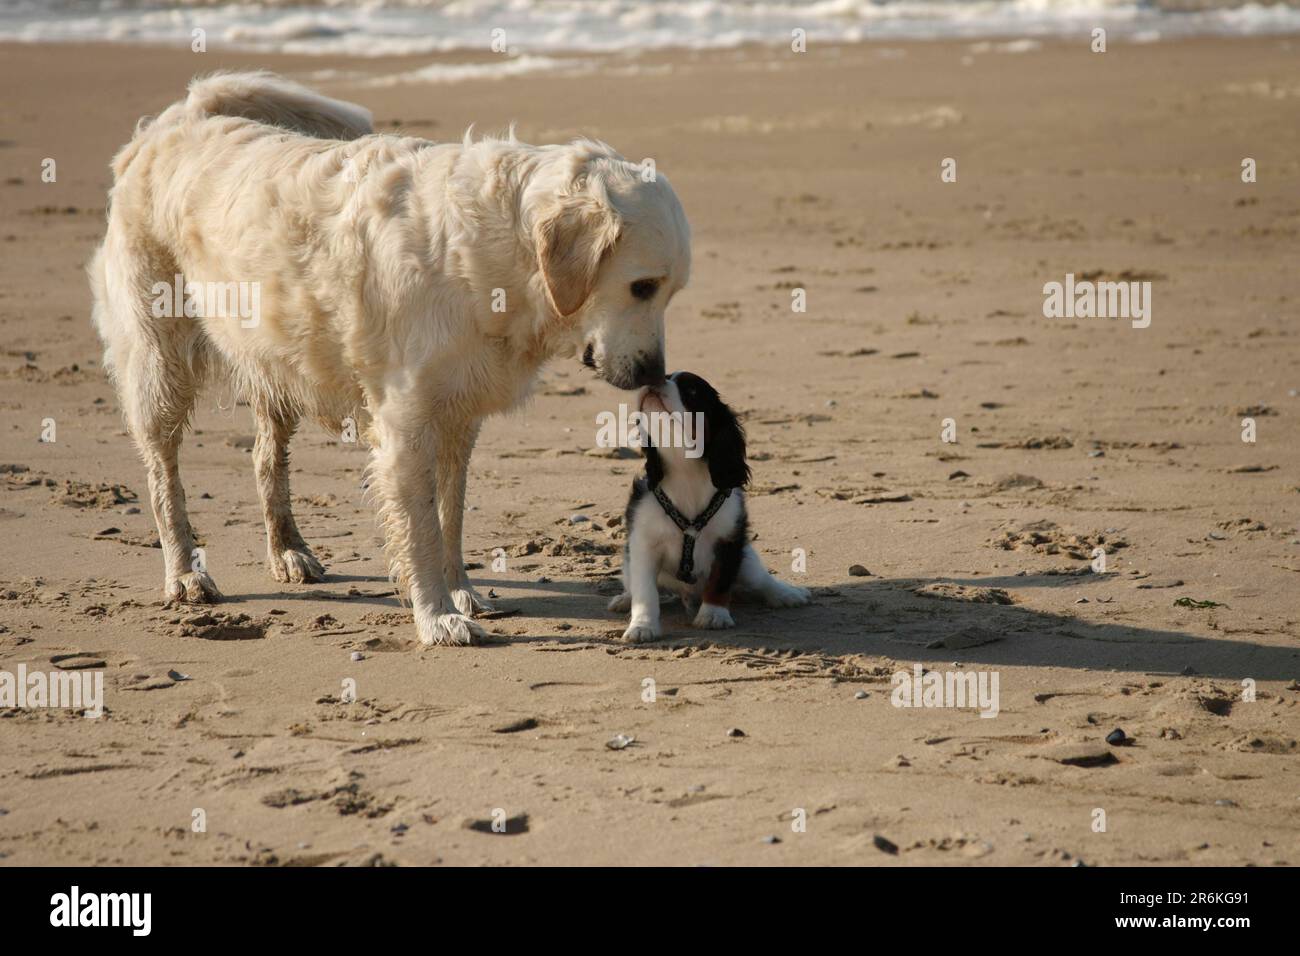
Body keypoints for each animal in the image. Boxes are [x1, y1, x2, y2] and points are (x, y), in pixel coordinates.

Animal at [90, 70, 691, 647]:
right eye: (642, 287)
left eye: (671, 294)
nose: (654, 374)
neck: (494, 253)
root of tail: (181, 117)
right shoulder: (408, 420)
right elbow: (421, 529)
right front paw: (438, 617)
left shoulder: (458, 416)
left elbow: (450, 516)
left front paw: (461, 592)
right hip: (161, 358)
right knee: (163, 470)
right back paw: (184, 574)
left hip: (277, 358)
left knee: (265, 458)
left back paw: (287, 550)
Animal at [605, 374, 806, 642]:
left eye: (691, 391)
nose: (655, 379)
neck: (685, 471)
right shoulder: (643, 546)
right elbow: (646, 592)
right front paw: (642, 626)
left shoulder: (729, 541)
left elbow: (719, 581)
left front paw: (713, 615)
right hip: (628, 563)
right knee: (633, 585)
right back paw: (624, 599)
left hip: (747, 560)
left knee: (761, 579)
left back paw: (786, 594)